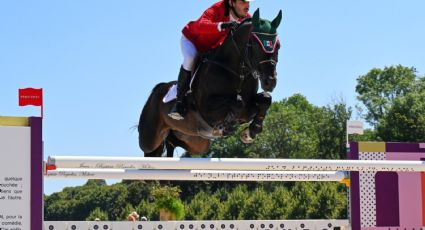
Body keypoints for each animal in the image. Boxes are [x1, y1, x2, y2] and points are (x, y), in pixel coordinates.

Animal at [137, 8, 280, 156]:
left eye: (278, 46)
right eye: (256, 45)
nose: (270, 82)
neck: (238, 72)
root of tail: (157, 90)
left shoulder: (247, 110)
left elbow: (265, 99)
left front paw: (250, 132)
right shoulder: (207, 109)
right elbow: (237, 102)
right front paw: (227, 127)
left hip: (195, 141)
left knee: (172, 142)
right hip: (150, 141)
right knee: (151, 150)